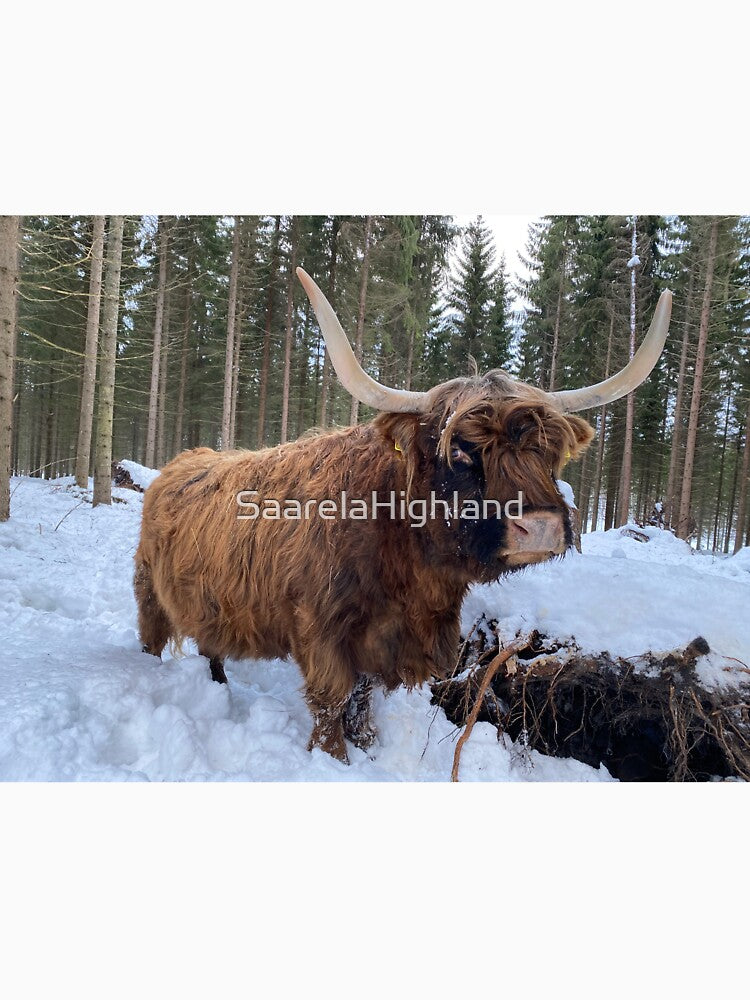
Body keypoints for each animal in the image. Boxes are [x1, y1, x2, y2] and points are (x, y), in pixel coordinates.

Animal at [135, 268, 672, 762]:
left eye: (548, 449)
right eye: (460, 451)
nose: (539, 526)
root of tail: (182, 461)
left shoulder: (385, 641)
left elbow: (364, 697)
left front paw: (369, 747)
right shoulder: (320, 628)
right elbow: (332, 701)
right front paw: (333, 757)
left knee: (211, 646)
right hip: (149, 593)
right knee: (152, 638)